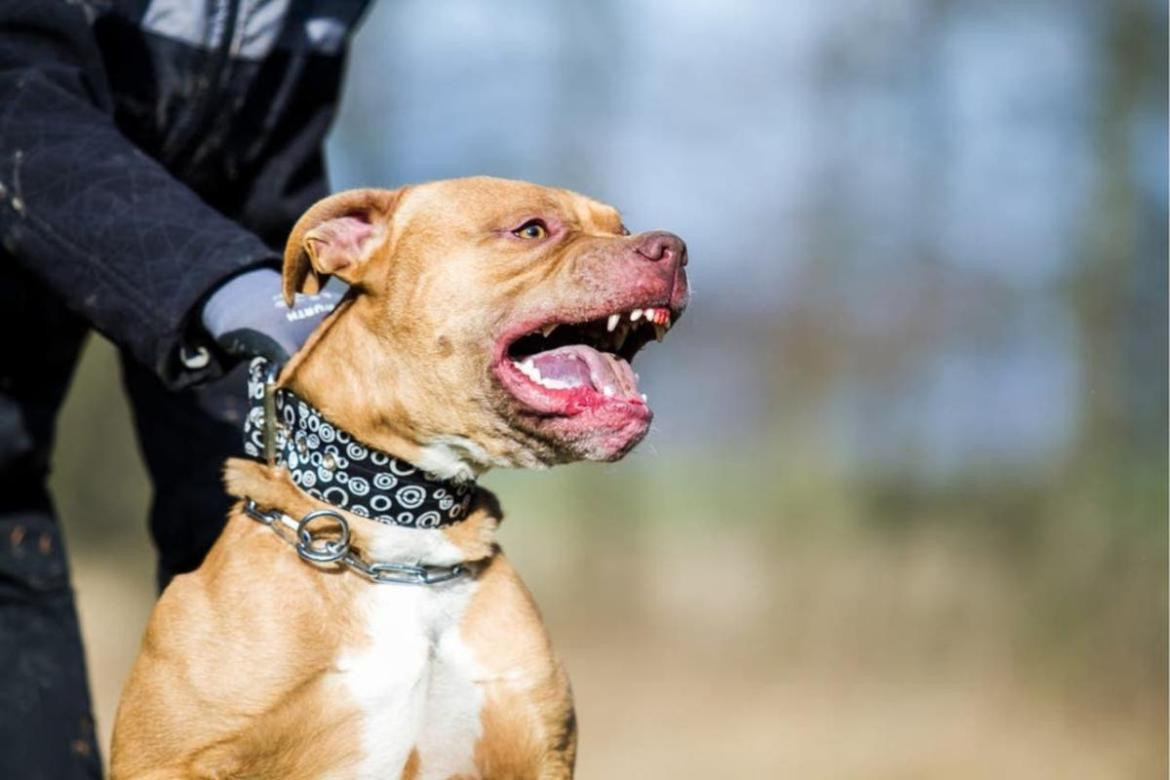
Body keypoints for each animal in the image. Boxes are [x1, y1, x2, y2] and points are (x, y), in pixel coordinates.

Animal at [107, 178, 683, 780]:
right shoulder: (171, 761)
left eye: (621, 228)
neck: (408, 535)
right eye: (531, 229)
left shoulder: (537, 751)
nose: (672, 248)